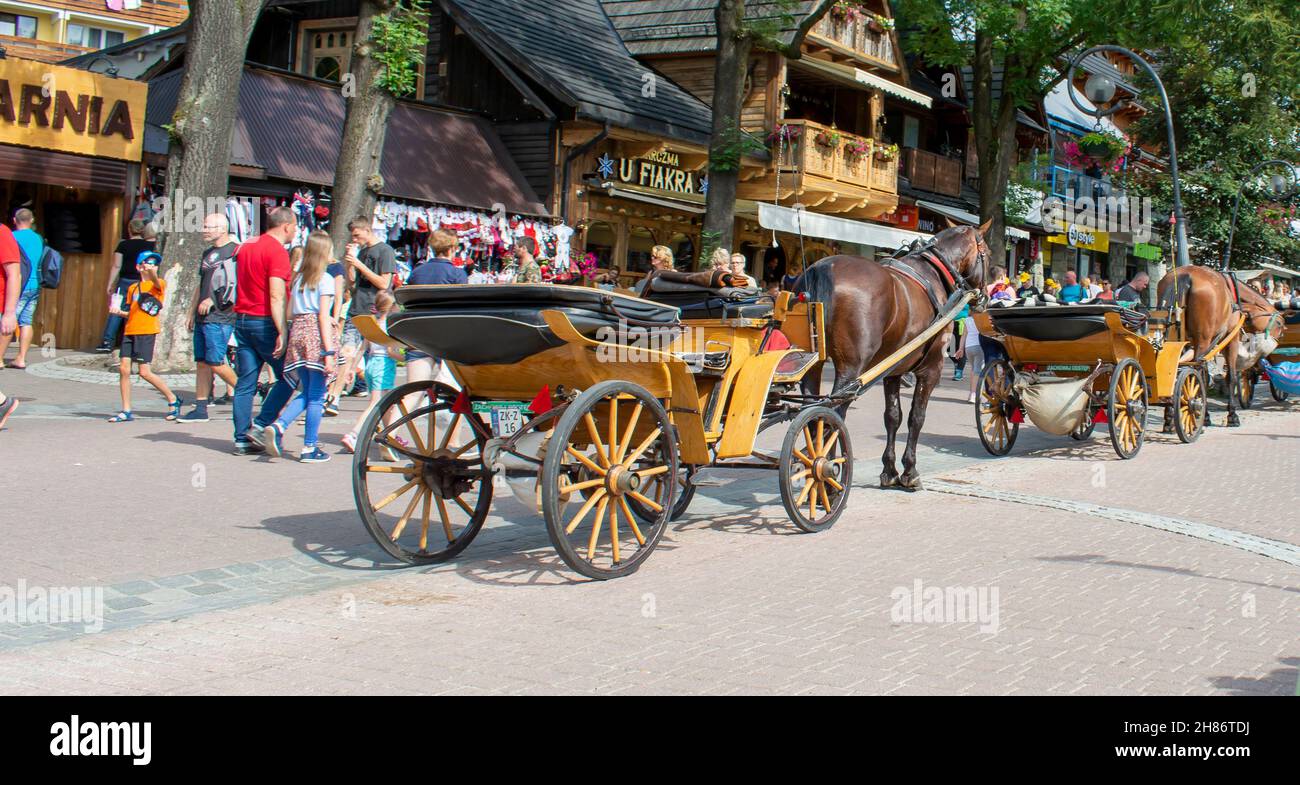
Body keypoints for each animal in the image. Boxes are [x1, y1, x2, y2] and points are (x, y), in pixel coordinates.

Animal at [790, 222, 993, 491]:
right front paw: (909, 471)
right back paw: (828, 475)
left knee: (814, 412)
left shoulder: (892, 371)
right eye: (987, 253)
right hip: (850, 370)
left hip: (812, 364)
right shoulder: (931, 369)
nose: (986, 296)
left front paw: (889, 470)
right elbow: (916, 417)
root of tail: (822, 267)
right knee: (832, 415)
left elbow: (892, 417)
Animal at [1164, 266, 1284, 426]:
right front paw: (1232, 415)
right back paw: (1199, 414)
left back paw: (1169, 418)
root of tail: (1186, 274)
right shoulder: (1231, 340)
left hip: (1175, 338)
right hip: (1204, 340)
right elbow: (1231, 377)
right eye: (1279, 324)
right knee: (1198, 373)